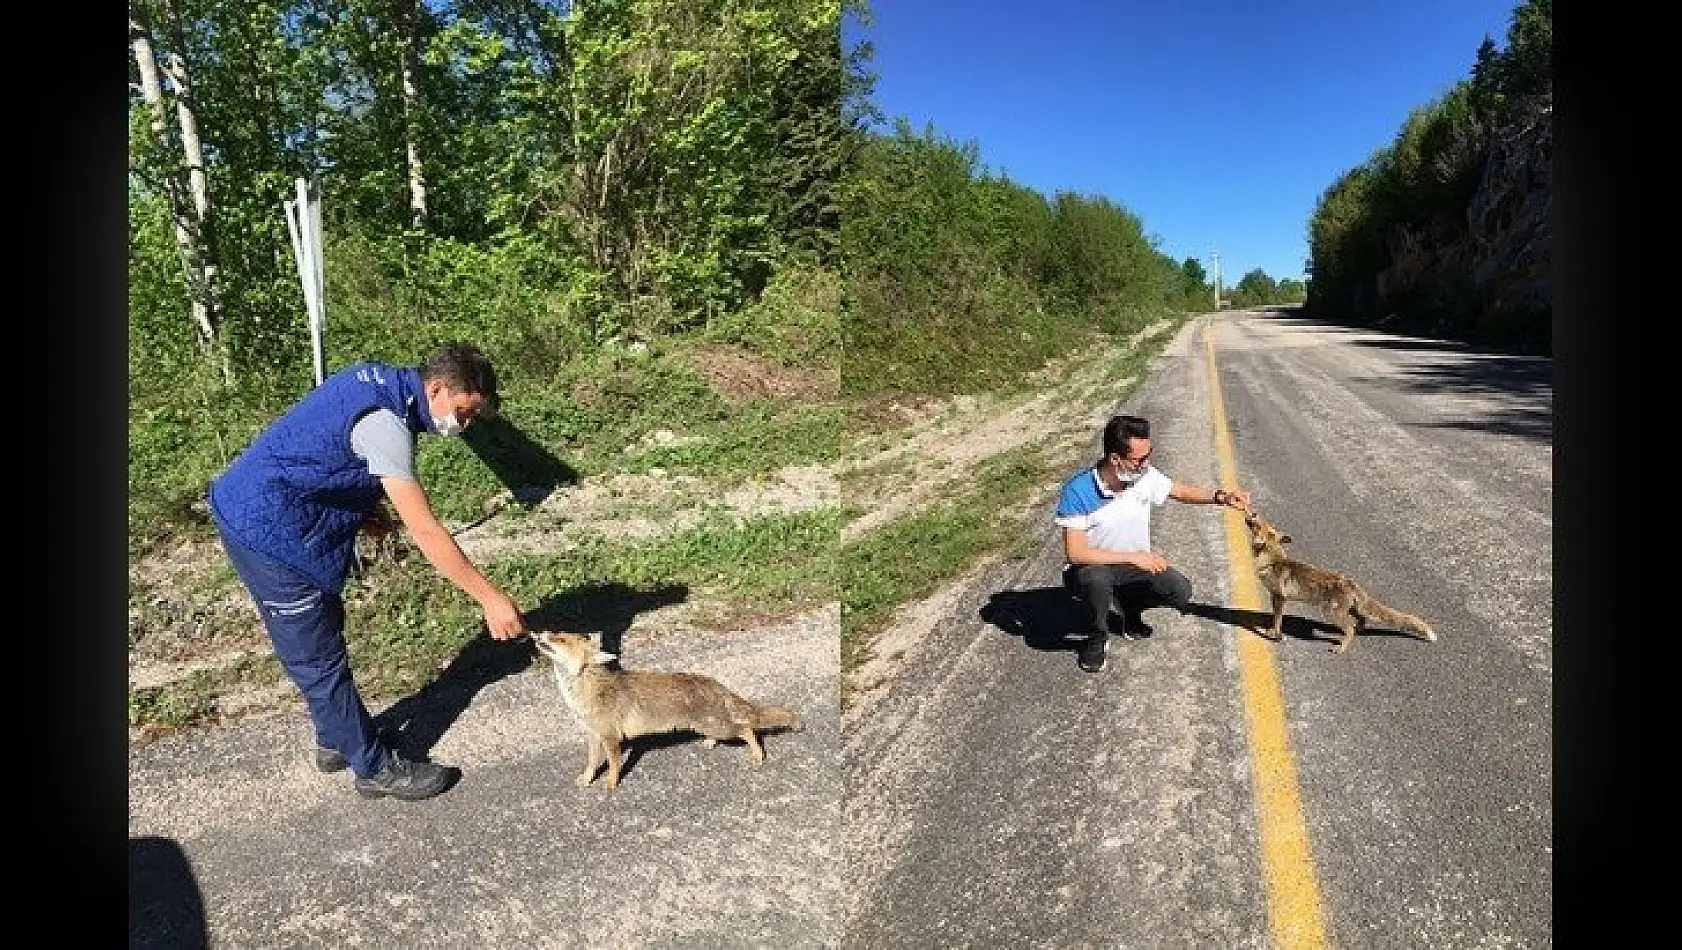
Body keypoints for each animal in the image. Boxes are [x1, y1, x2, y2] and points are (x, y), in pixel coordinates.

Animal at [534, 628, 803, 786]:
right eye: (556, 632)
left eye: (559, 639)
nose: (539, 631)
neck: (585, 692)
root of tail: (715, 683)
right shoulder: (593, 735)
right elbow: (591, 763)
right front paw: (587, 779)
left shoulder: (611, 737)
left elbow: (613, 766)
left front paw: (611, 785)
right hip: (708, 727)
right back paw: (710, 743)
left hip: (721, 728)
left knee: (747, 729)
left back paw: (757, 754)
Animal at [1244, 511, 1439, 652]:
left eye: (1258, 525)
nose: (1252, 514)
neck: (1272, 561)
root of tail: (1353, 584)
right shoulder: (1277, 597)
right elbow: (1276, 618)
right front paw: (1273, 633)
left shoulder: (1279, 596)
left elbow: (1277, 620)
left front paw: (1274, 635)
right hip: (1350, 609)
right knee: (1361, 620)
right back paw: (1359, 630)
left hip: (1330, 611)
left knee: (1350, 628)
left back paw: (1341, 648)